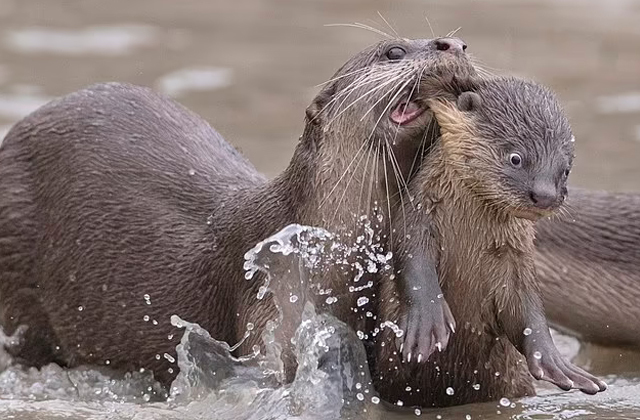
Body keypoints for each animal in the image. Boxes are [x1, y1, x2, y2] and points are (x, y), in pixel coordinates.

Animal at [378, 77, 608, 408]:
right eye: (516, 157)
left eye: (565, 169)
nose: (545, 195)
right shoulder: (418, 217)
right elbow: (413, 262)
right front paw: (427, 323)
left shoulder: (515, 256)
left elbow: (526, 308)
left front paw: (554, 361)